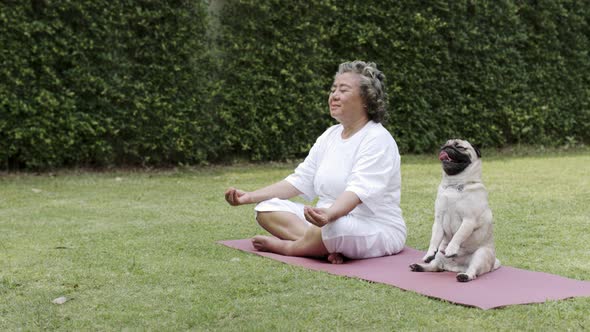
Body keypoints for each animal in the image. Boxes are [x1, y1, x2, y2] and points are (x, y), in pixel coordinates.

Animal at [410, 139, 502, 282]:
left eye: (459, 147)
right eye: (445, 144)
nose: (446, 147)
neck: (453, 185)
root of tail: (455, 268)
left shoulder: (468, 221)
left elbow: (459, 235)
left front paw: (451, 249)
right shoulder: (438, 220)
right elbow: (434, 239)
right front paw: (429, 253)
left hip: (481, 255)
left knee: (473, 272)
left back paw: (464, 276)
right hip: (440, 254)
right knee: (436, 267)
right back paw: (419, 266)